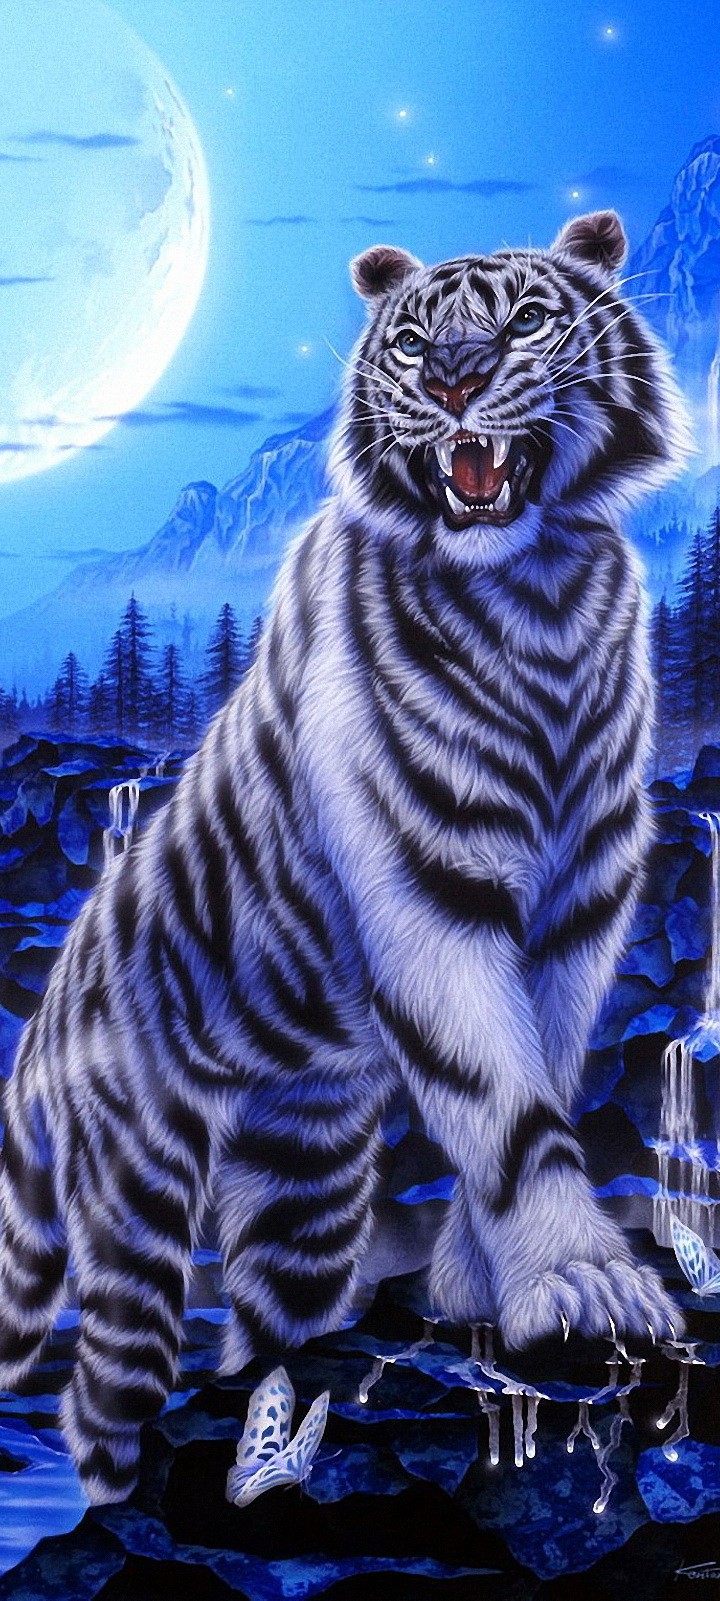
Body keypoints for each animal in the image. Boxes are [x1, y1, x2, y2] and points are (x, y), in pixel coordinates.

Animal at [0, 209, 689, 1504]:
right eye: (415, 338)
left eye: (529, 318)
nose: (454, 379)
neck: (537, 592)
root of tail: (40, 1027)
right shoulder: (430, 888)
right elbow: (506, 1102)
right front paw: (580, 1280)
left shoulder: (585, 897)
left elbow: (538, 1071)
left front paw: (482, 1287)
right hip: (138, 1197)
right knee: (102, 1385)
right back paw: (116, 1481)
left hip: (305, 1183)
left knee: (272, 1309)